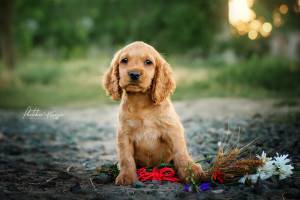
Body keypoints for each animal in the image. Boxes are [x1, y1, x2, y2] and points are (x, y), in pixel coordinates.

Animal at [102, 41, 203, 185]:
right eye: (124, 60)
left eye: (148, 62)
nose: (134, 74)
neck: (141, 102)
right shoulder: (124, 133)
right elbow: (126, 157)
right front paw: (126, 176)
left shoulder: (172, 129)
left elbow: (180, 152)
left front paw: (190, 171)